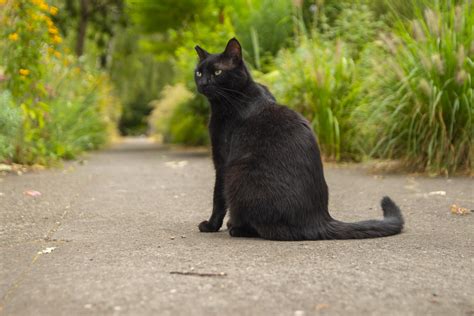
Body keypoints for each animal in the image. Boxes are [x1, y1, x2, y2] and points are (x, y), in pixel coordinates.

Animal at [194, 37, 402, 239]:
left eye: (218, 72)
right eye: (198, 72)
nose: (202, 83)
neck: (236, 97)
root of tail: (320, 220)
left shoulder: (222, 161)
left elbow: (218, 198)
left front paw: (211, 225)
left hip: (236, 174)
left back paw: (237, 228)